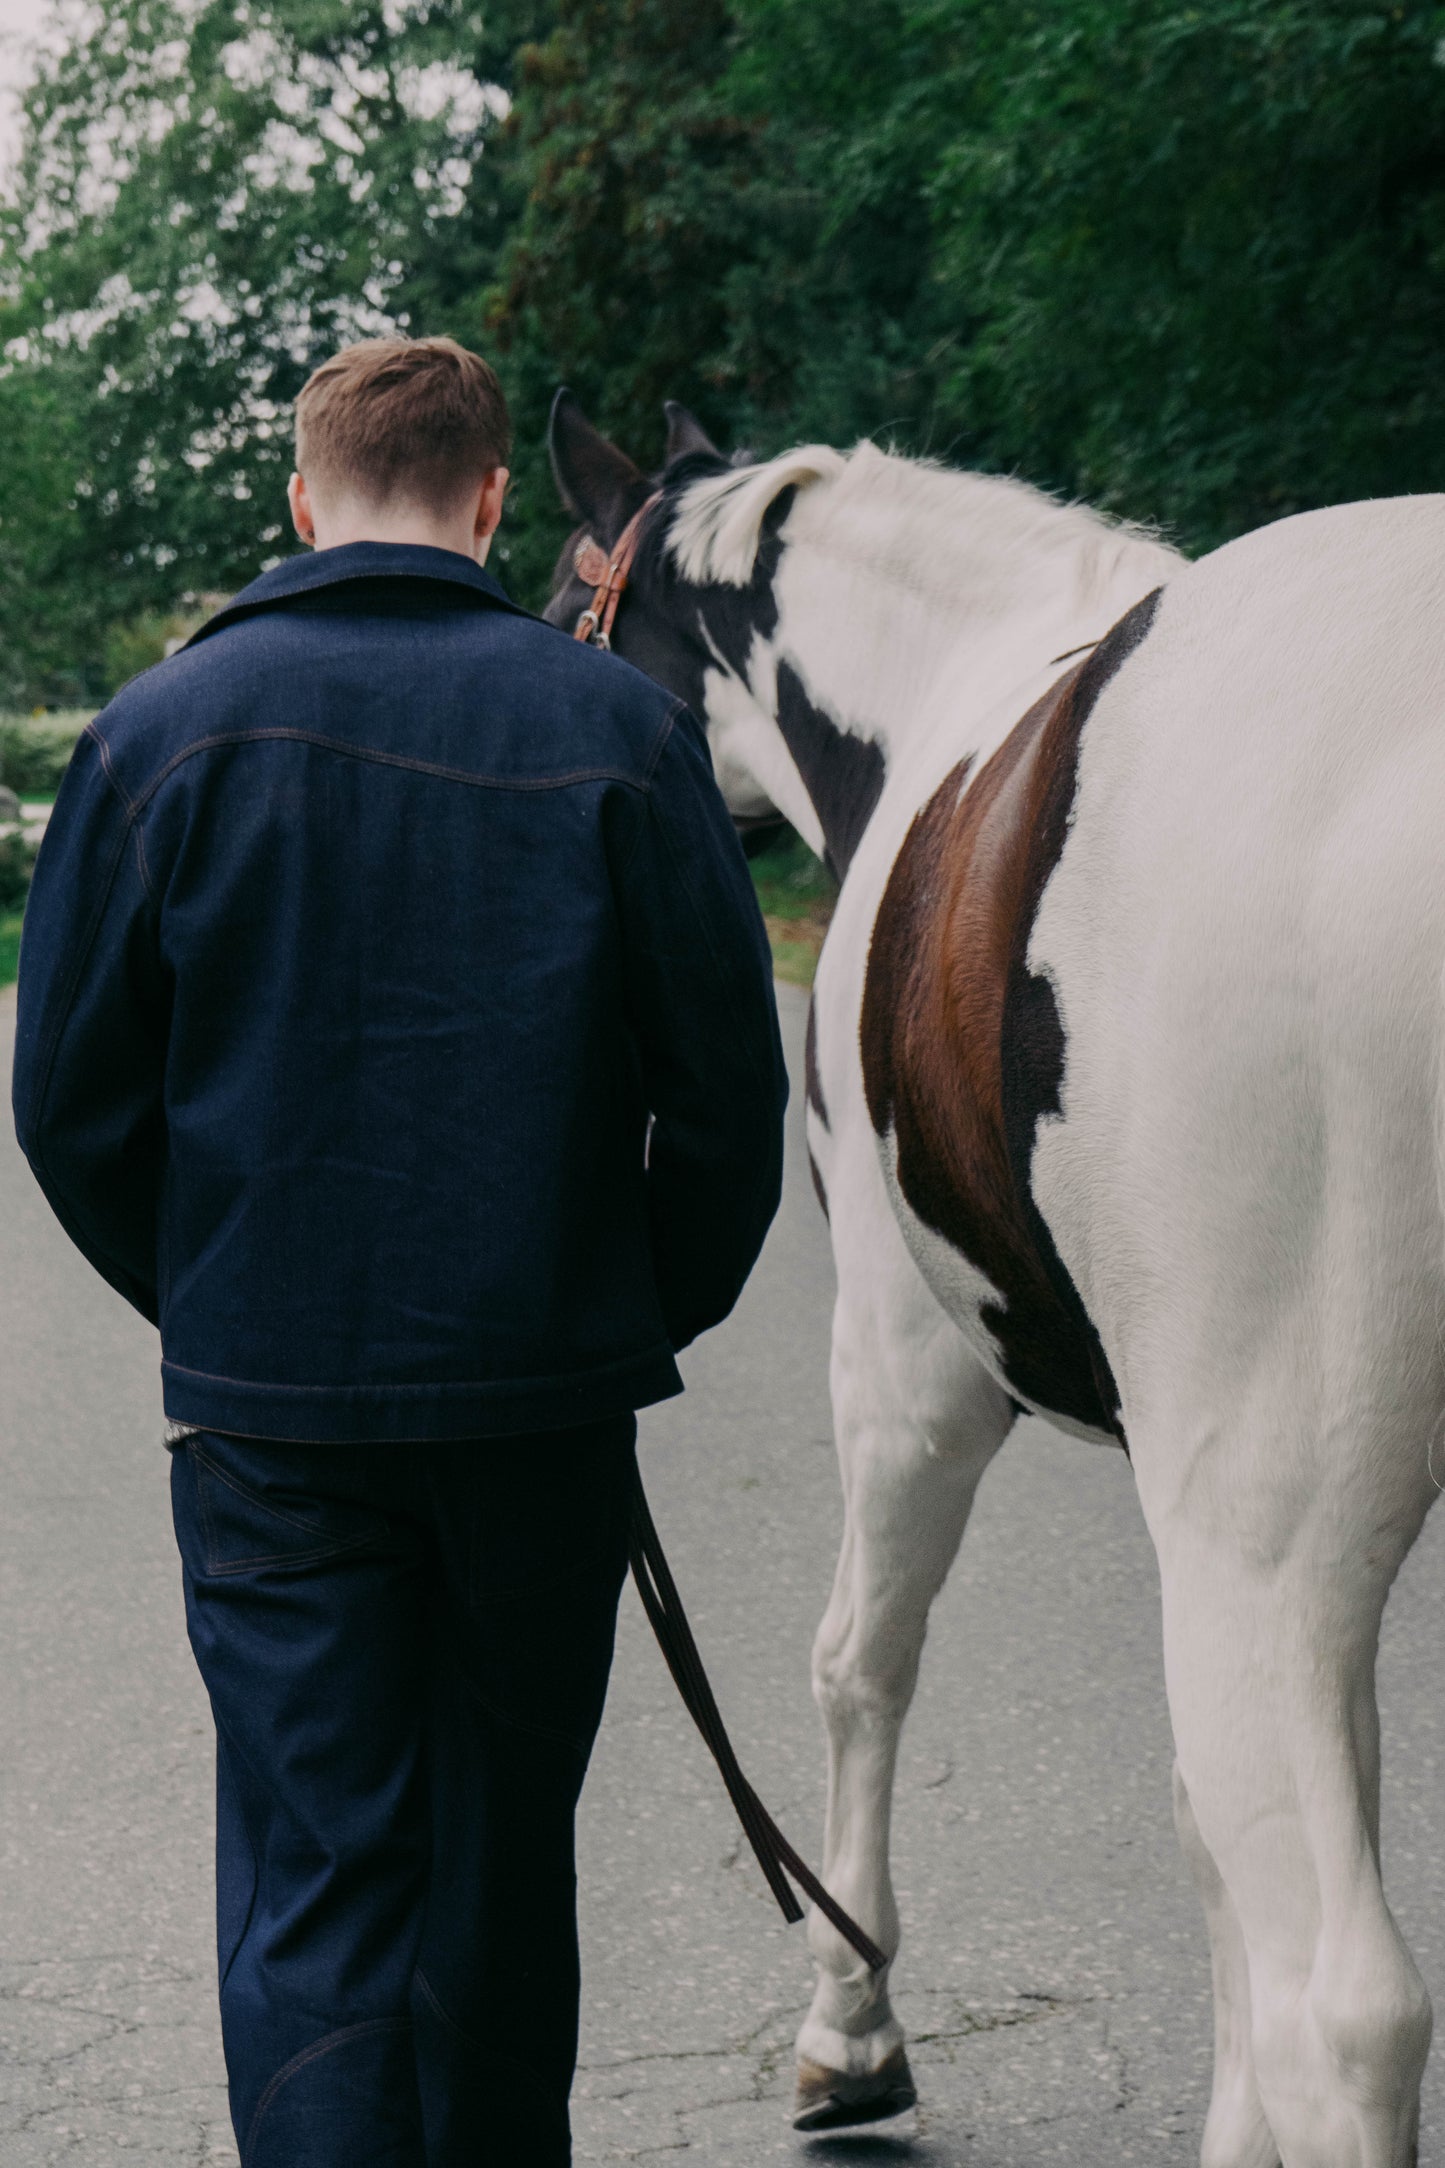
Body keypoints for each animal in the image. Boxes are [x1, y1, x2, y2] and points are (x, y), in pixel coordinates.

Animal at [550, 394, 1445, 2168]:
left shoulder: (910, 1377)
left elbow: (857, 1662)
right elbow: (1206, 1827)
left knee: (1348, 2017)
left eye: (561, 604)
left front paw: (849, 2034)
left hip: (1270, 1529)